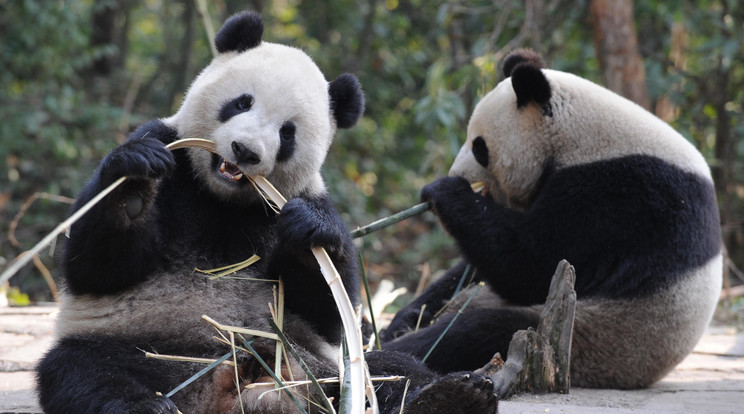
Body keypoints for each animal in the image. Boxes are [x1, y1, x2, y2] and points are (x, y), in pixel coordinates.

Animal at [37, 10, 496, 414]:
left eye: (287, 132)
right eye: (241, 103)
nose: (245, 151)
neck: (221, 199)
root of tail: (223, 391)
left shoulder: (300, 198)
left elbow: (329, 310)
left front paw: (309, 232)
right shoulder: (168, 148)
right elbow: (97, 269)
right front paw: (132, 187)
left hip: (322, 366)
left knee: (388, 371)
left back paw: (453, 395)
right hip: (146, 350)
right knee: (86, 371)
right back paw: (146, 406)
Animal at [384, 50, 720, 390]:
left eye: (479, 147)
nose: (459, 173)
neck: (582, 135)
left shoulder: (623, 197)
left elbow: (534, 262)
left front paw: (445, 191)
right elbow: (473, 268)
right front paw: (403, 317)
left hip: (595, 334)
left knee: (476, 330)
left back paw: (398, 353)